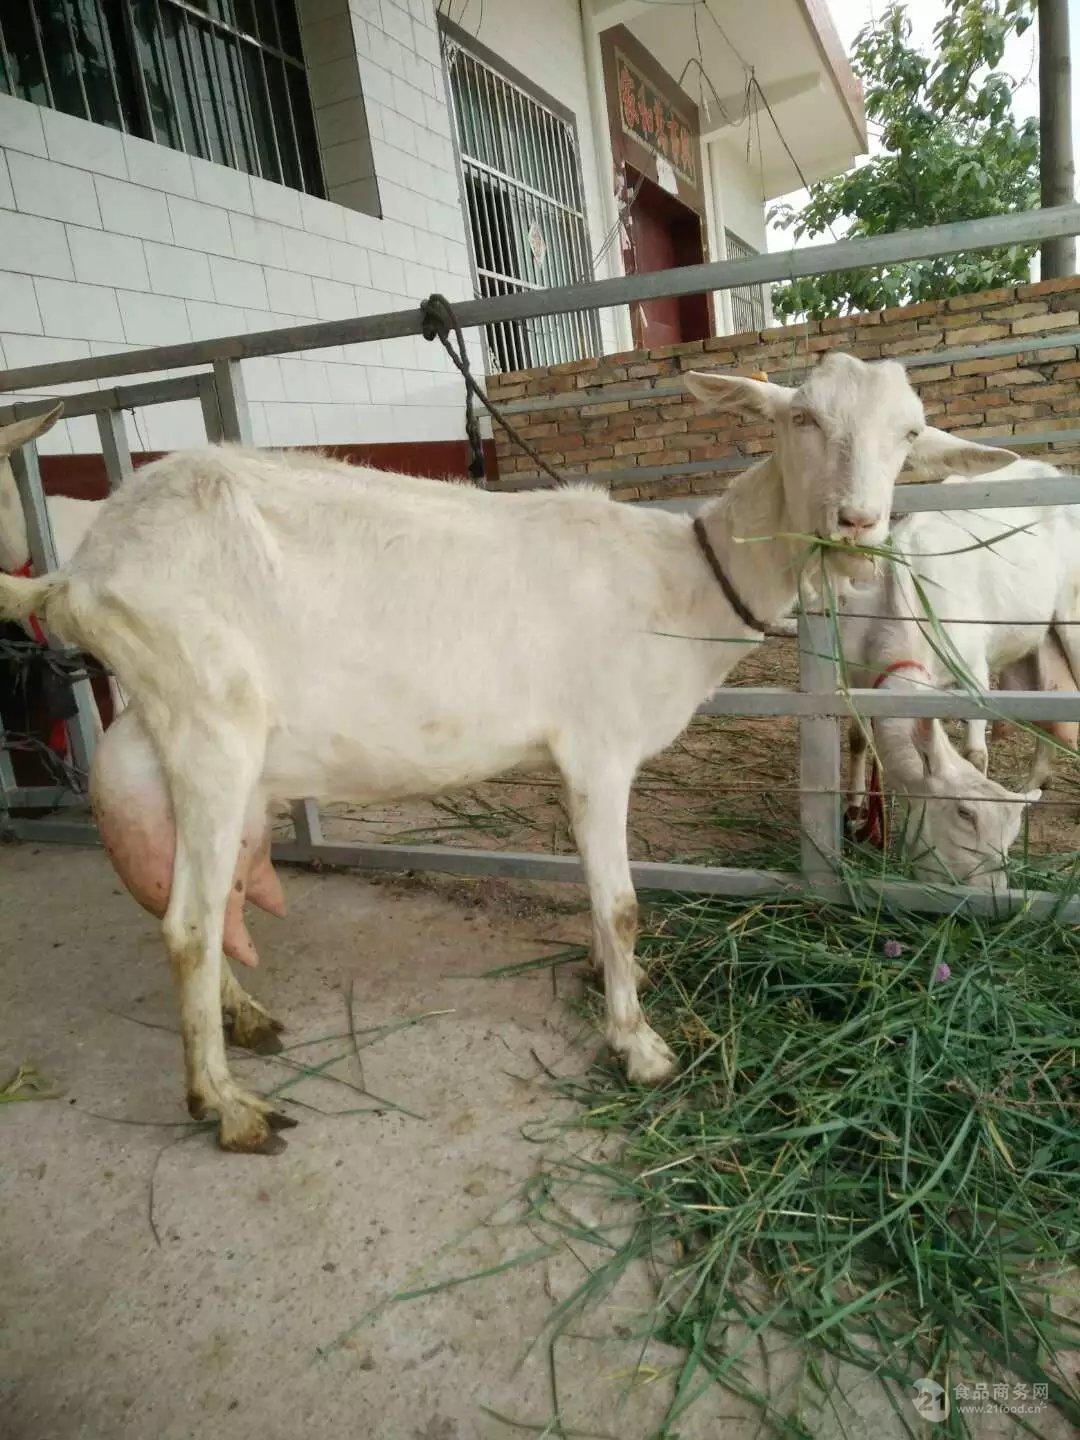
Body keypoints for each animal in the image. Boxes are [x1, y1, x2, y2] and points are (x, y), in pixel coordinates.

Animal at [0, 354, 1013, 1152]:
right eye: (801, 418)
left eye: (909, 434)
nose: (857, 525)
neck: (681, 583)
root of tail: (80, 574)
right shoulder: (599, 748)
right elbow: (623, 906)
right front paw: (640, 1047)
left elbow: (604, 907)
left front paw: (614, 989)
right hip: (209, 721)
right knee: (187, 924)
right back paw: (227, 1107)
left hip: (184, 736)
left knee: (192, 897)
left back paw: (242, 1020)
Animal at [846, 460, 1080, 887]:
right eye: (965, 814)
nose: (994, 891)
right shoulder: (855, 671)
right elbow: (857, 738)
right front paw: (853, 816)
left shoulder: (970, 668)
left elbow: (975, 754)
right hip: (1042, 640)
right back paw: (1033, 782)